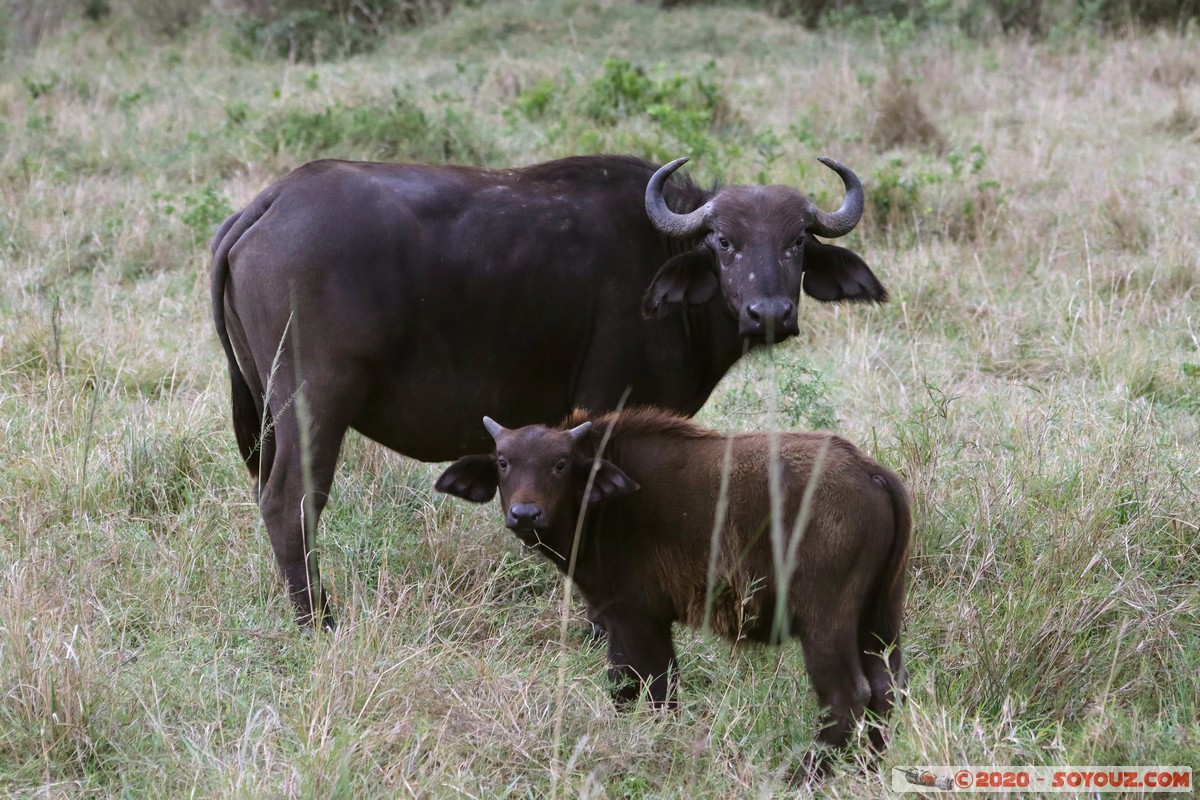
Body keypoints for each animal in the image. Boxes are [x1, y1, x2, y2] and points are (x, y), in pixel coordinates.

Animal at [211, 151, 888, 623]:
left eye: (796, 241)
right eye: (725, 242)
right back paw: (319, 619)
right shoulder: (608, 407)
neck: (658, 258)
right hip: (314, 402)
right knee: (291, 501)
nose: (769, 313)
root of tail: (270, 200)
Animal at [436, 410, 912, 767]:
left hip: (825, 623)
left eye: (560, 463)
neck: (605, 502)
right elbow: (627, 687)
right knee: (886, 688)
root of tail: (871, 472)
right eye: (503, 461)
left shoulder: (637, 617)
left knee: (846, 696)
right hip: (881, 618)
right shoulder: (622, 621)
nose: (525, 514)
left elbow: (653, 688)